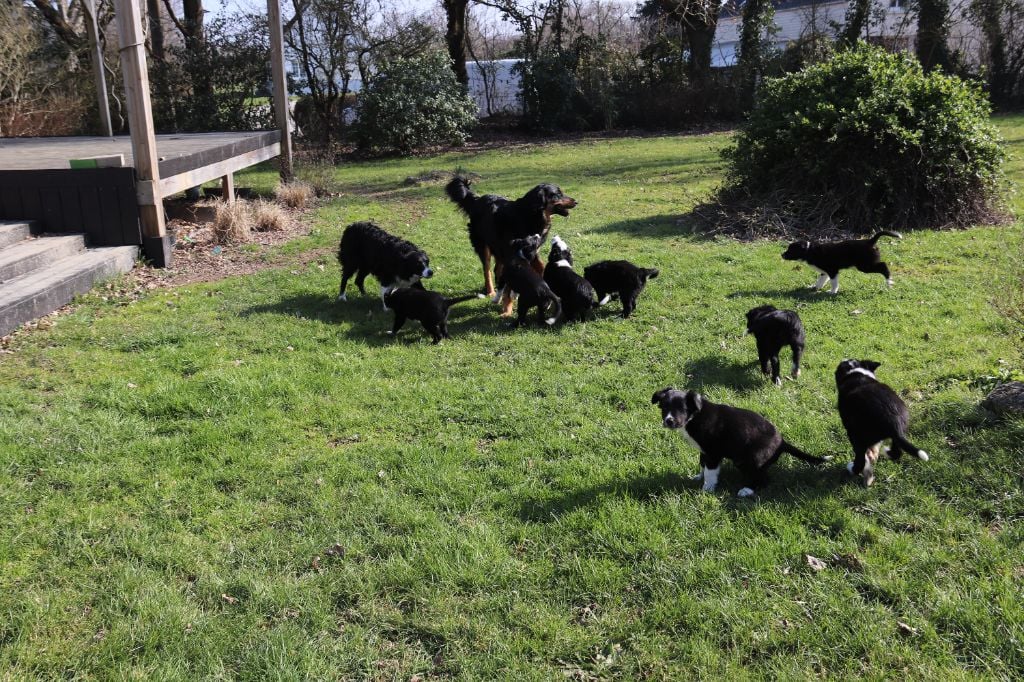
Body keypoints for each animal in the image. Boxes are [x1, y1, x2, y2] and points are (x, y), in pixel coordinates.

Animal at [446, 175, 581, 307]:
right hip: (483, 246)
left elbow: (540, 266)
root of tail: (477, 200)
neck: (531, 214)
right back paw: (491, 291)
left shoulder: (532, 249)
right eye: (557, 194)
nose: (576, 202)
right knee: (487, 269)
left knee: (497, 269)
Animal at [651, 387, 827, 493]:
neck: (695, 415)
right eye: (664, 408)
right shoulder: (704, 452)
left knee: (763, 478)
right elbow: (702, 466)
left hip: (749, 460)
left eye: (682, 409)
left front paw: (707, 490)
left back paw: (747, 490)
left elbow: (710, 473)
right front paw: (698, 478)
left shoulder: (713, 454)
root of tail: (782, 443)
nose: (668, 421)